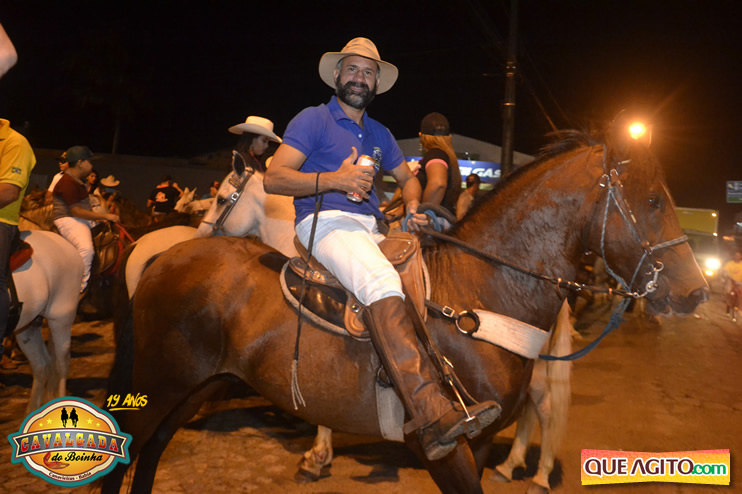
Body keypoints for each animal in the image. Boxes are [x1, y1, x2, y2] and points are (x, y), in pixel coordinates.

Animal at [104, 130, 708, 493]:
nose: (696, 292)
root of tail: (164, 257)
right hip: (161, 384)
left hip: (193, 387)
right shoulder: (444, 448)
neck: (475, 296)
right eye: (653, 200)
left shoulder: (475, 443)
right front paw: (317, 456)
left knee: (151, 453)